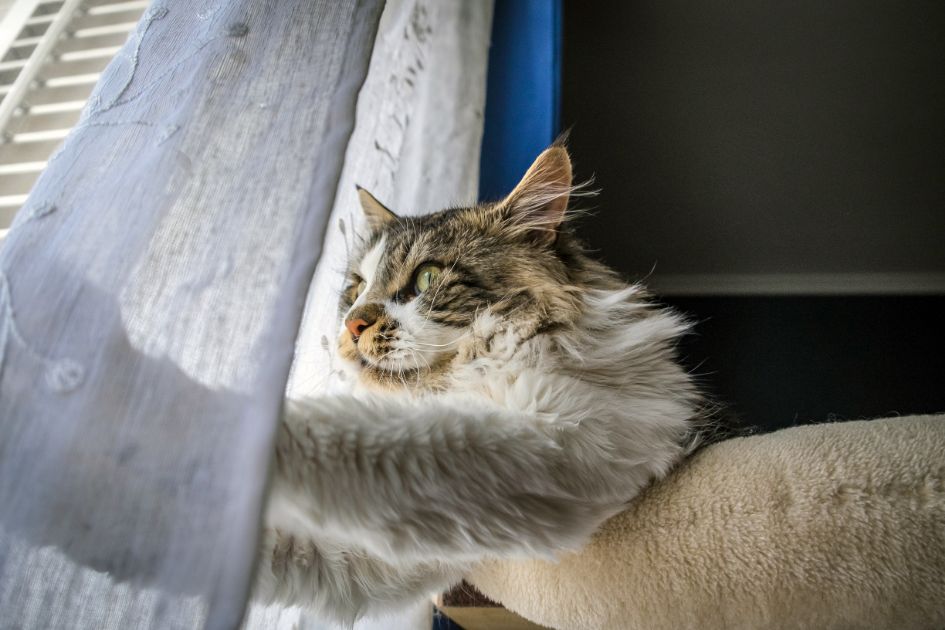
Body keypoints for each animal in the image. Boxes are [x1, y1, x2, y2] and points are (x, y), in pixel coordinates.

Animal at [251, 146, 708, 624]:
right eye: (356, 289)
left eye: (427, 278)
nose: (352, 324)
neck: (465, 376)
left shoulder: (554, 439)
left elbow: (361, 437)